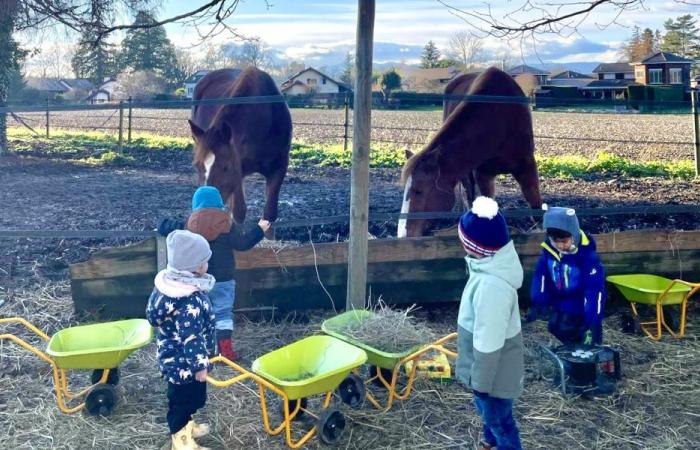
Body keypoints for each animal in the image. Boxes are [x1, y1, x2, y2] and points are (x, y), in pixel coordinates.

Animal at [187, 67, 292, 223]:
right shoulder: (239, 171)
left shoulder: (279, 167)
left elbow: (269, 214)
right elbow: (238, 213)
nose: (205, 209)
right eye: (196, 166)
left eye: (226, 167)